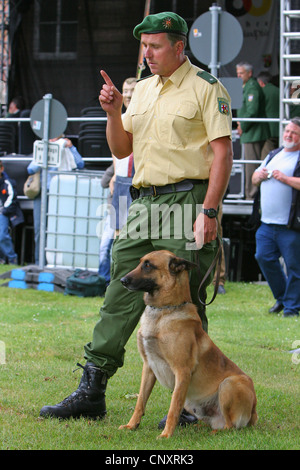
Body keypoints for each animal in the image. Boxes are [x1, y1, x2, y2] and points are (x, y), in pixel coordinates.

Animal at [119, 252, 258, 438]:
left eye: (148, 265)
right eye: (140, 262)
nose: (122, 280)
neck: (164, 310)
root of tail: (254, 412)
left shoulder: (182, 371)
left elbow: (173, 407)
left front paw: (166, 435)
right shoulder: (148, 367)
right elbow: (140, 401)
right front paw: (132, 425)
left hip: (229, 383)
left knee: (230, 426)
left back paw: (213, 433)